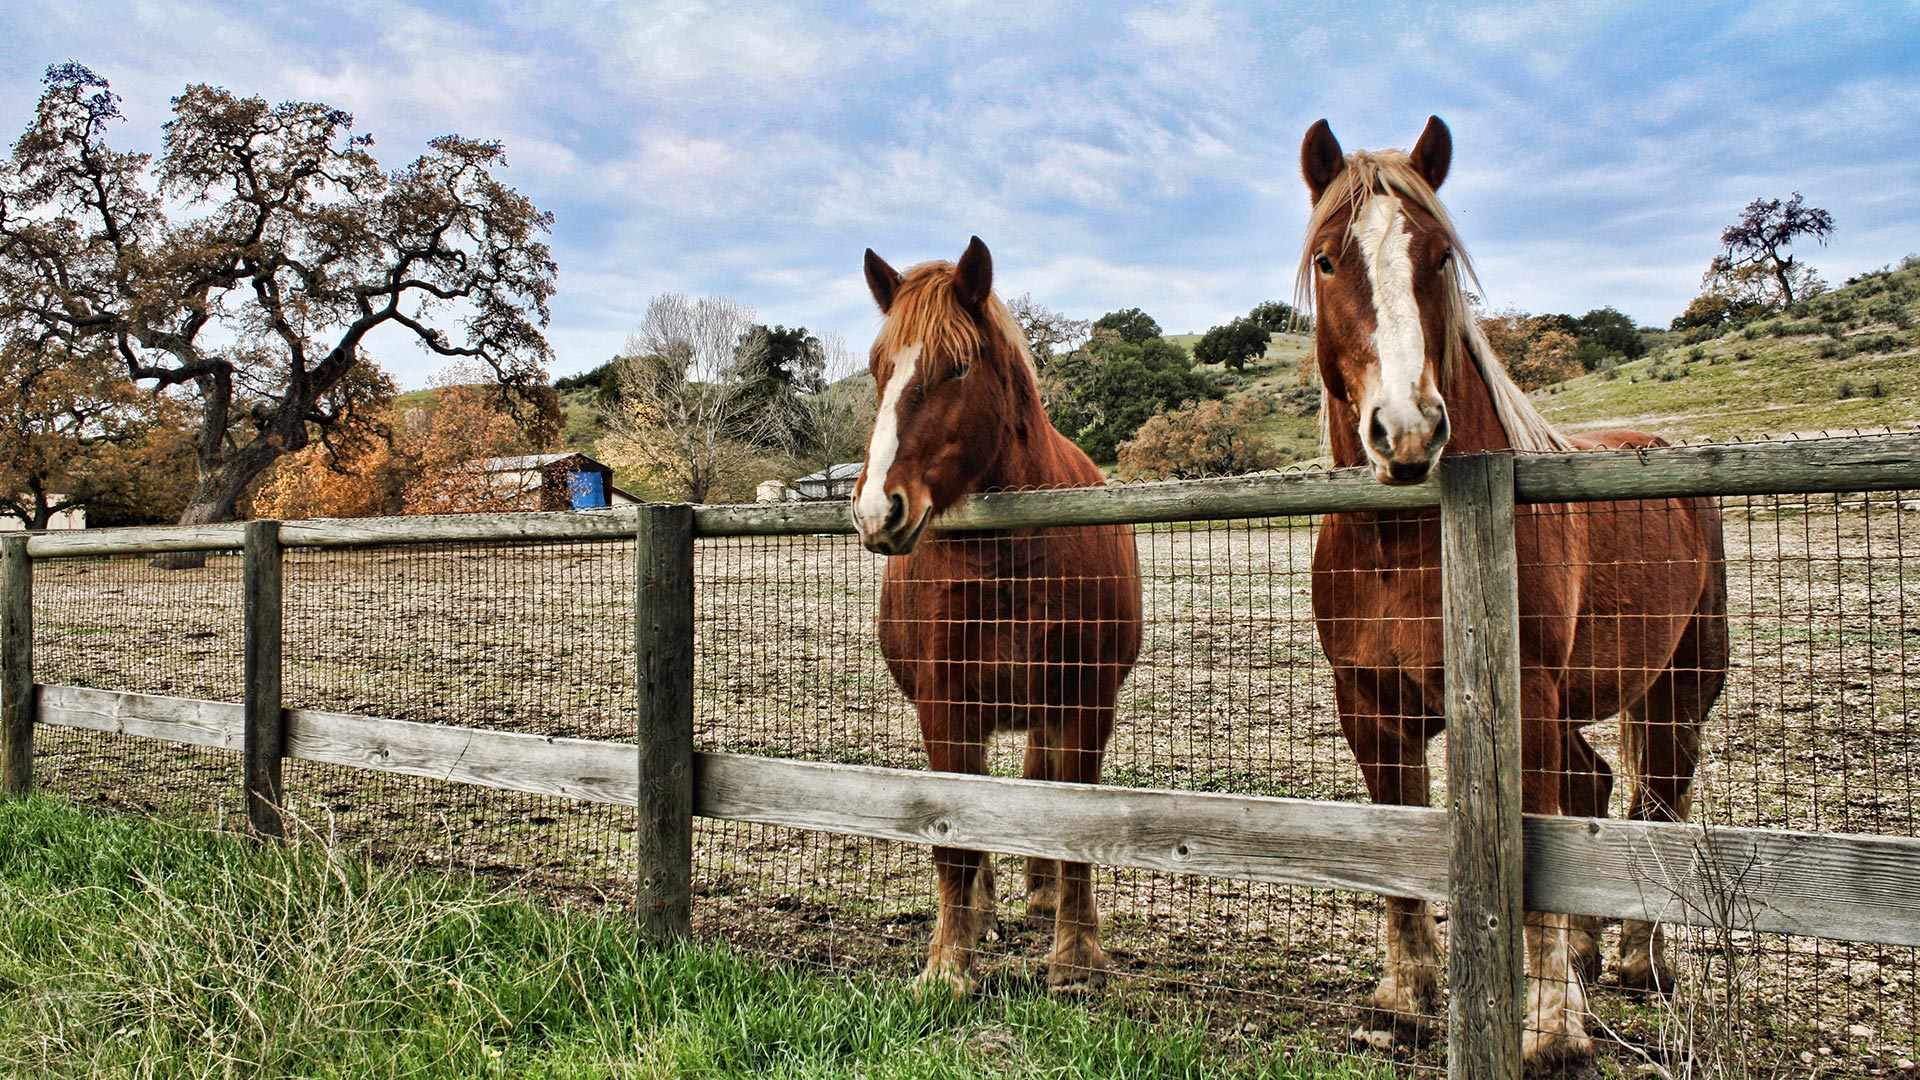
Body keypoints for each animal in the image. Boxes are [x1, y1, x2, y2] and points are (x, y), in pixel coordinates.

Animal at [851, 237, 1144, 994]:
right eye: (877, 371)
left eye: (957, 366)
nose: (877, 510)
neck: (1009, 557)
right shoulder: (945, 702)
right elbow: (954, 835)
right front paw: (949, 963)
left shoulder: (1083, 699)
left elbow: (1072, 821)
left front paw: (1075, 955)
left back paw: (1042, 898)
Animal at [1297, 117, 1728, 1070]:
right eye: (1329, 261)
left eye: (1439, 257)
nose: (1406, 430)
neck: (1400, 544)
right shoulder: (1369, 706)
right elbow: (1400, 856)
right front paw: (1402, 1007)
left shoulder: (1518, 697)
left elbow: (1533, 864)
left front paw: (1552, 1034)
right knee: (1595, 791)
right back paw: (1589, 957)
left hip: (1680, 686)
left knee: (1657, 799)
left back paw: (1639, 962)